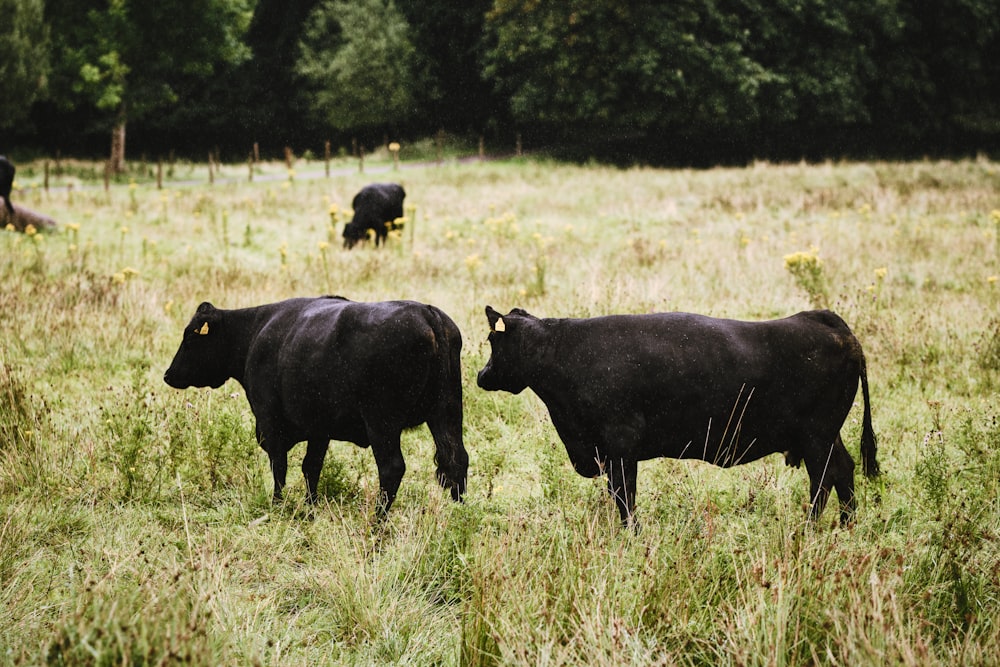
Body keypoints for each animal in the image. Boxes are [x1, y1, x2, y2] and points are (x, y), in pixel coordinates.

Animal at [164, 298, 468, 516]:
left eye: (190, 337)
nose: (168, 374)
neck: (255, 333)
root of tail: (427, 313)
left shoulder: (269, 421)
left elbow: (280, 467)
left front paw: (278, 505)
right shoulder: (319, 429)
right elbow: (311, 467)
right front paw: (310, 506)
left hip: (382, 422)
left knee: (392, 468)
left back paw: (377, 522)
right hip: (447, 412)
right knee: (457, 460)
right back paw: (460, 514)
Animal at [476, 306, 876, 528]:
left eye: (493, 341)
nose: (481, 376)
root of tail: (825, 320)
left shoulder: (620, 446)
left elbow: (625, 498)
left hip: (817, 437)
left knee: (823, 479)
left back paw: (809, 529)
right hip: (825, 436)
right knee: (844, 470)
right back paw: (847, 525)